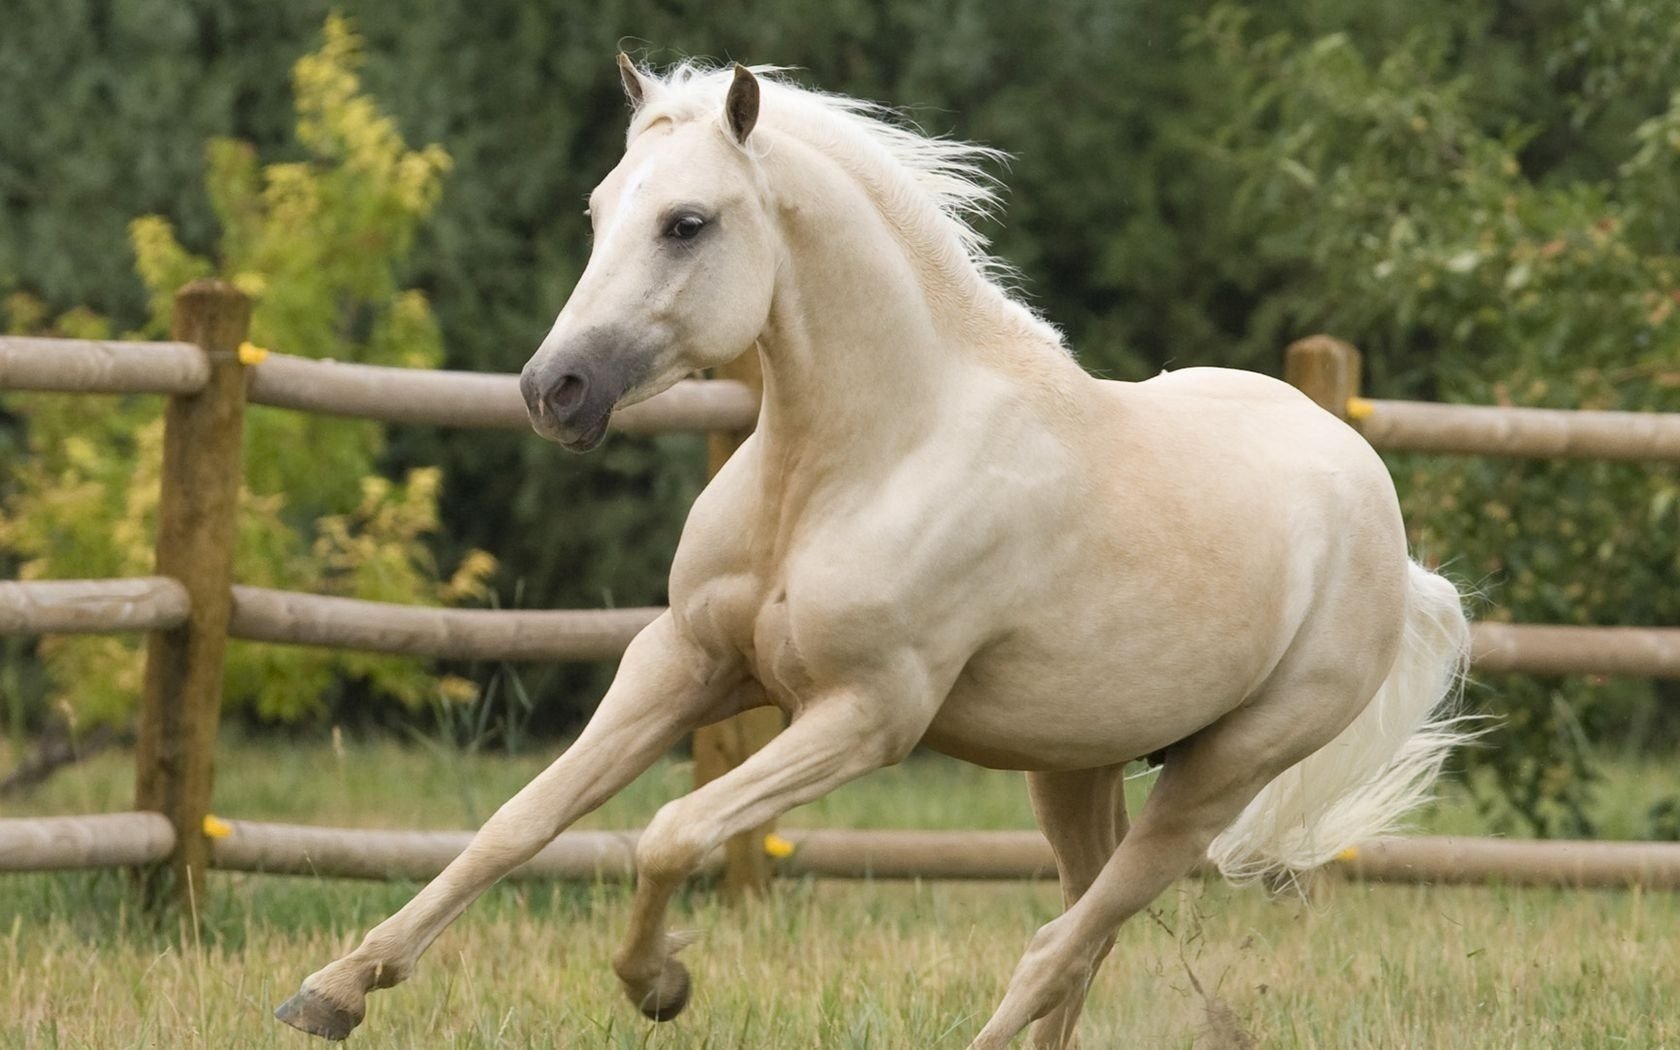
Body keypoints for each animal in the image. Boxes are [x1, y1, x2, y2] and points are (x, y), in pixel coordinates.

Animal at [278, 59, 1471, 1048]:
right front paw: (333, 991)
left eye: (686, 223)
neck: (854, 465)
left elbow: (670, 830)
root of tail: (1387, 530)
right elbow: (517, 822)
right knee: (1084, 935)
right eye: (600, 211)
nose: (554, 390)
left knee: (1060, 944)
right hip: (1073, 763)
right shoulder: (683, 664)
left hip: (1222, 775)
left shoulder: (865, 715)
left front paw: (659, 985)